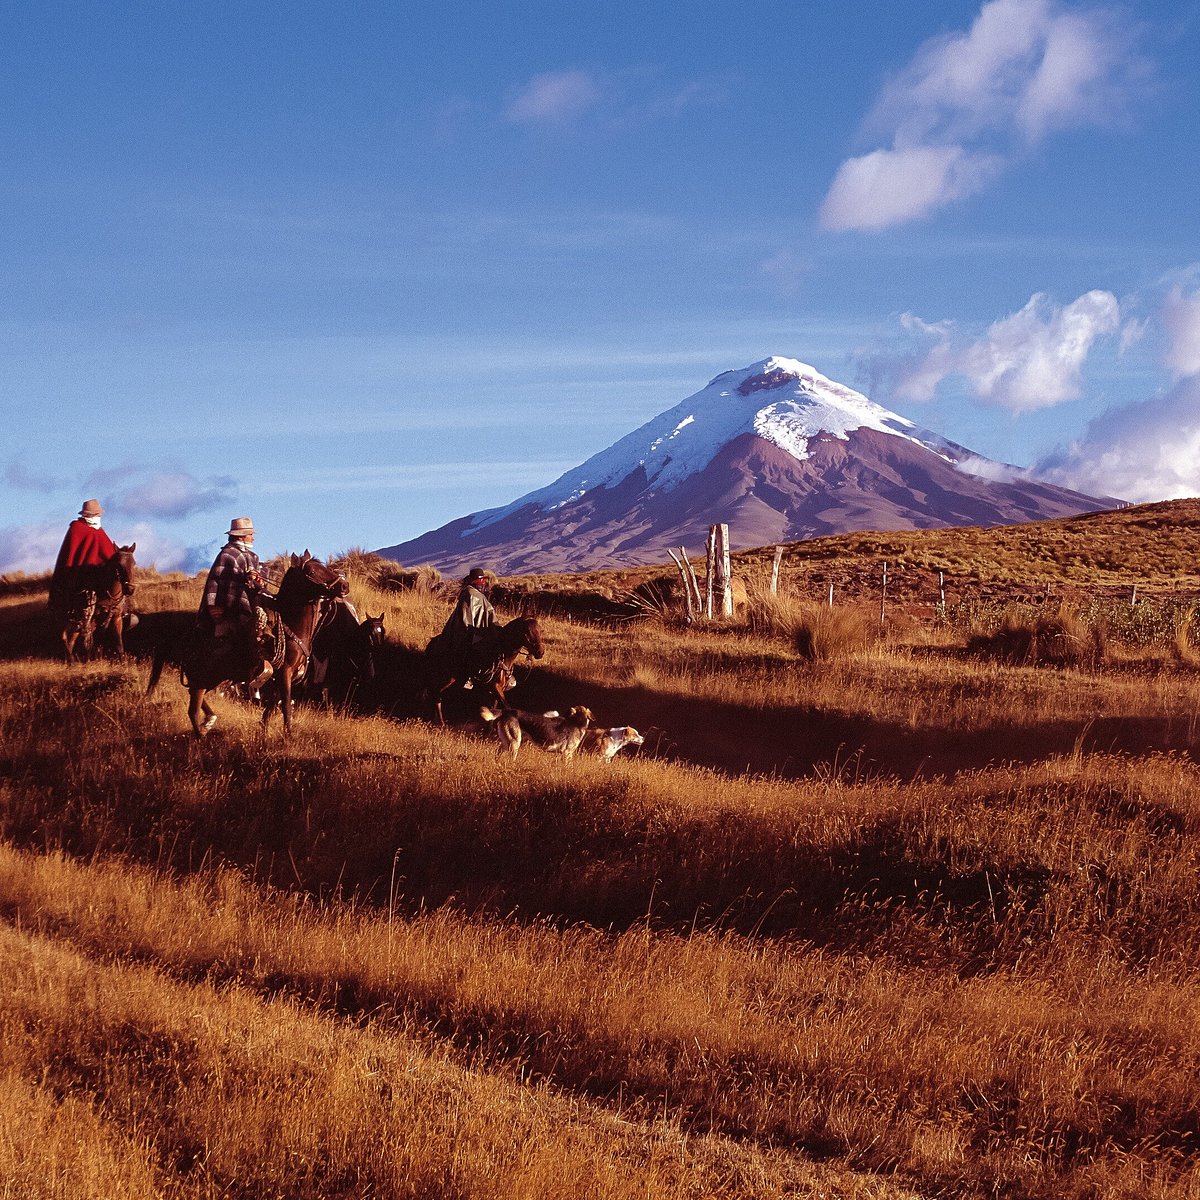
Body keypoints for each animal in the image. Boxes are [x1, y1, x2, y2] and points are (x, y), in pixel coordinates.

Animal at [159, 554, 348, 739]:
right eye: (312, 571)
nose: (344, 586)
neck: (292, 626)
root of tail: (187, 641)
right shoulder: (285, 672)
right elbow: (286, 704)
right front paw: (289, 735)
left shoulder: (285, 675)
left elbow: (272, 705)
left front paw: (264, 729)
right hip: (202, 677)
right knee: (193, 709)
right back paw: (202, 736)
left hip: (211, 678)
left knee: (195, 698)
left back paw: (209, 721)